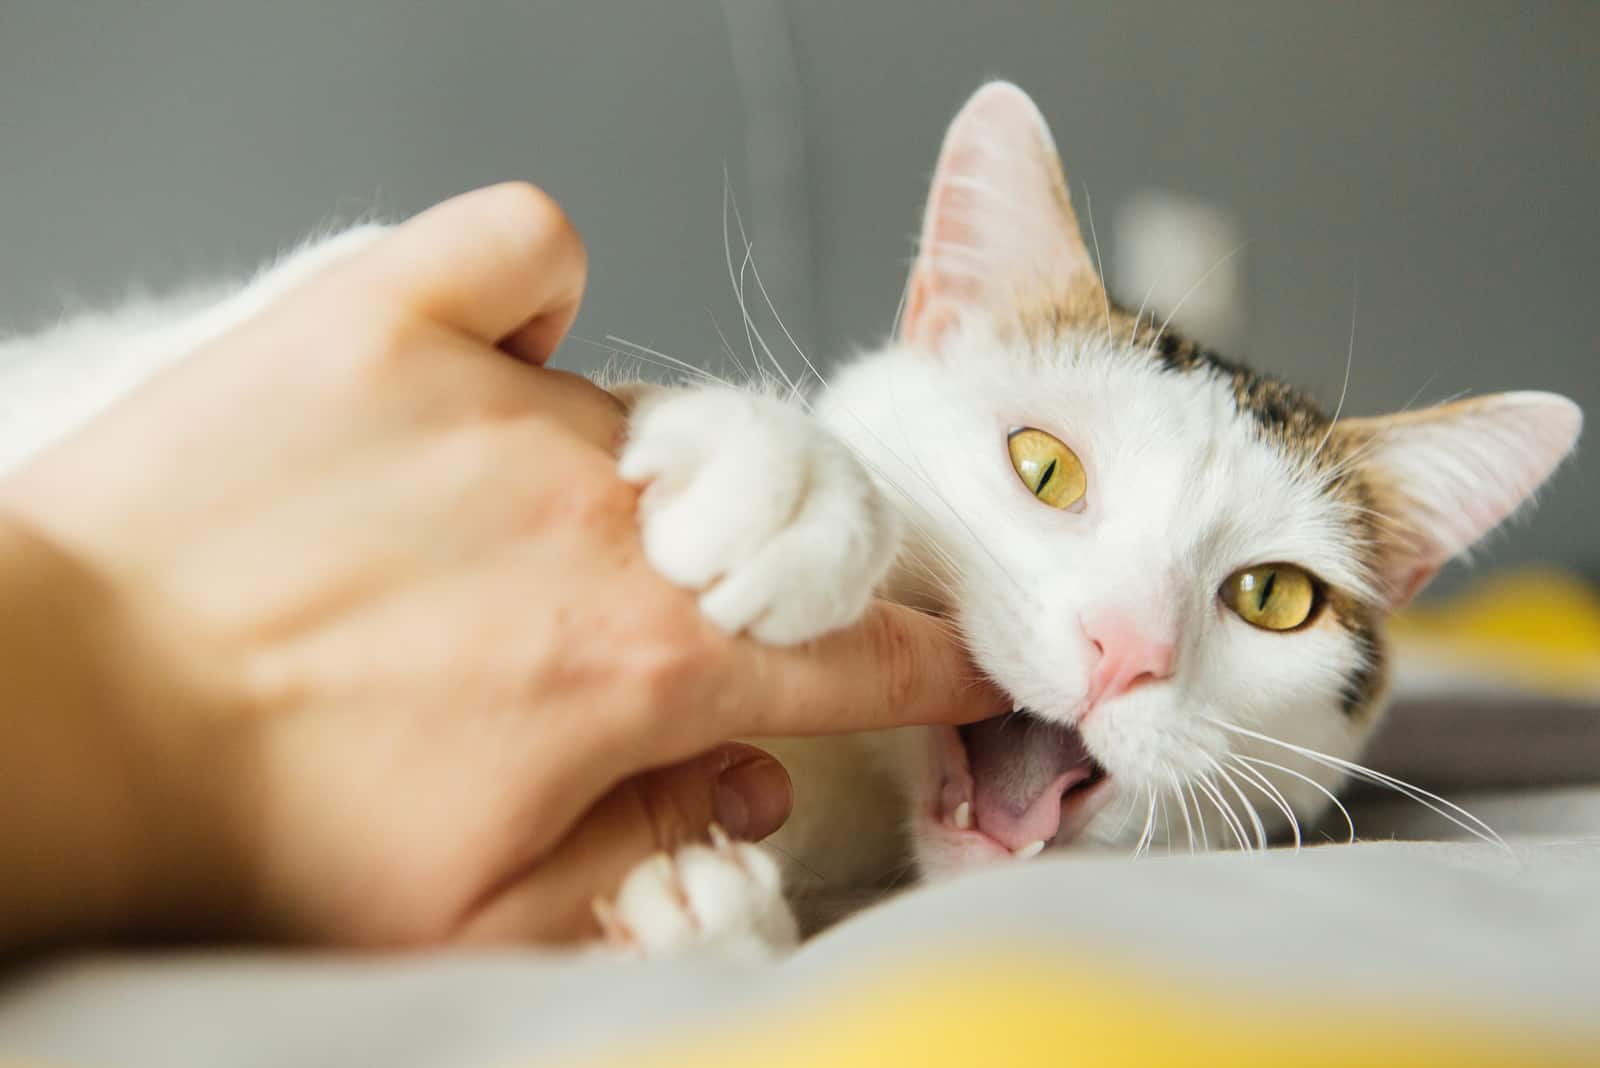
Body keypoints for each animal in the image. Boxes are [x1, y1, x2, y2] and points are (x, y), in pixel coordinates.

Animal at [0, 79, 1574, 965]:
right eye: (1043, 468)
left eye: (1274, 601)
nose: (1124, 649)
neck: (842, 800)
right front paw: (791, 475)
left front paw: (688, 909)